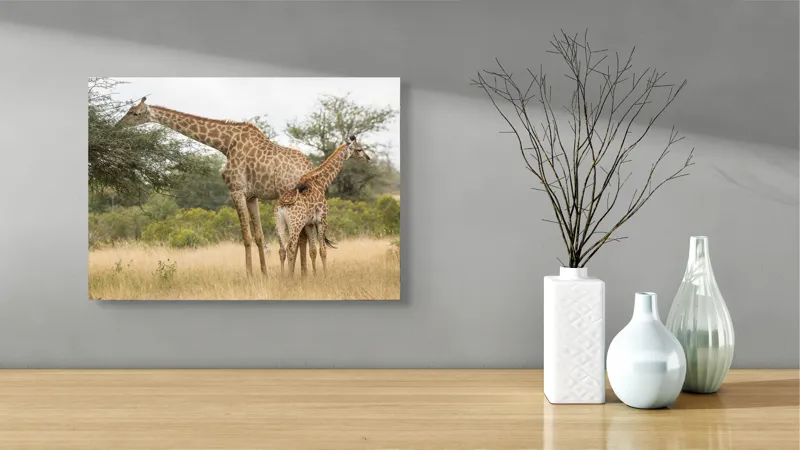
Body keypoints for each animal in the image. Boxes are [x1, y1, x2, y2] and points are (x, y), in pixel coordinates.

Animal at [116, 97, 318, 276]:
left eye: (134, 113)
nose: (117, 126)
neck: (226, 144)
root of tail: (309, 167)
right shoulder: (251, 196)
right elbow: (259, 236)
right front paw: (264, 273)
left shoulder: (236, 190)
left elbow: (246, 236)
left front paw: (249, 275)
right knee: (303, 236)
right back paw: (303, 274)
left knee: (300, 236)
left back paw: (300, 274)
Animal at [274, 136, 370, 277]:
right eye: (359, 149)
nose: (368, 158)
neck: (322, 182)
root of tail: (282, 205)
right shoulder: (322, 220)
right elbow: (323, 250)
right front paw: (325, 275)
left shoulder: (309, 223)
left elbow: (313, 250)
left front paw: (314, 275)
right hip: (295, 225)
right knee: (290, 248)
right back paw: (290, 278)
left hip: (279, 224)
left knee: (282, 250)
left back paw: (282, 277)